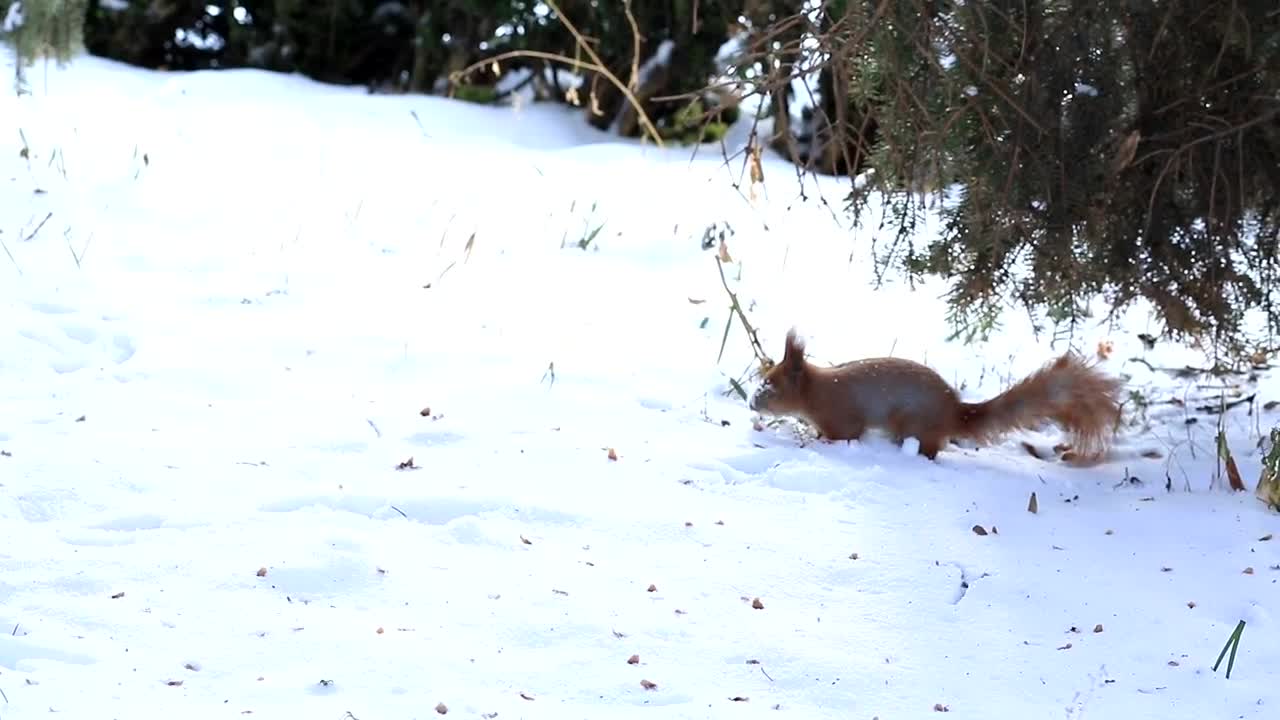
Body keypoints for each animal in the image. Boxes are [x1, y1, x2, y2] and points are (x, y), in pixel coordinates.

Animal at [748, 328, 1124, 462]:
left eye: (771, 386)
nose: (752, 401)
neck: (817, 391)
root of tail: (954, 412)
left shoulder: (842, 417)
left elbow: (844, 434)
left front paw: (819, 443)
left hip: (913, 423)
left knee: (929, 449)